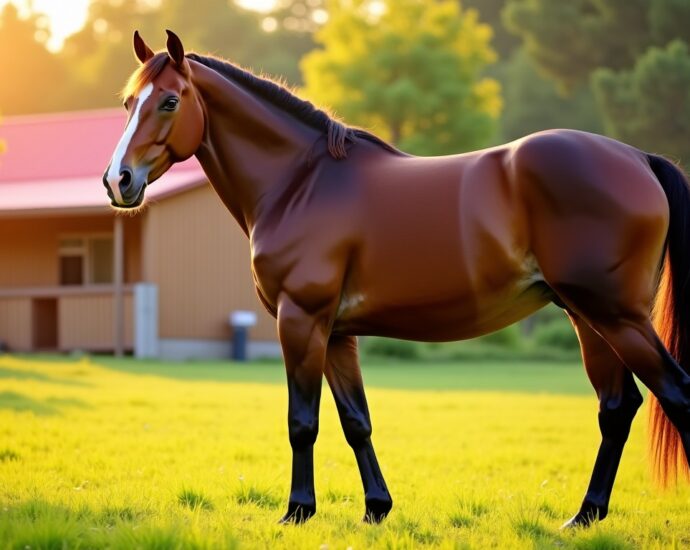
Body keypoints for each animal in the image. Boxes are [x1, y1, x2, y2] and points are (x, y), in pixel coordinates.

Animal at [103, 30, 690, 527]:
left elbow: (303, 421)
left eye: (169, 101)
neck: (301, 184)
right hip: (588, 317)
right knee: (618, 408)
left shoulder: (301, 320)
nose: (118, 180)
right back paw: (585, 515)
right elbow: (355, 420)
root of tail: (639, 157)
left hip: (615, 316)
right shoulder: (337, 333)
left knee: (675, 393)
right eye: (128, 103)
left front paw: (298, 511)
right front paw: (376, 508)